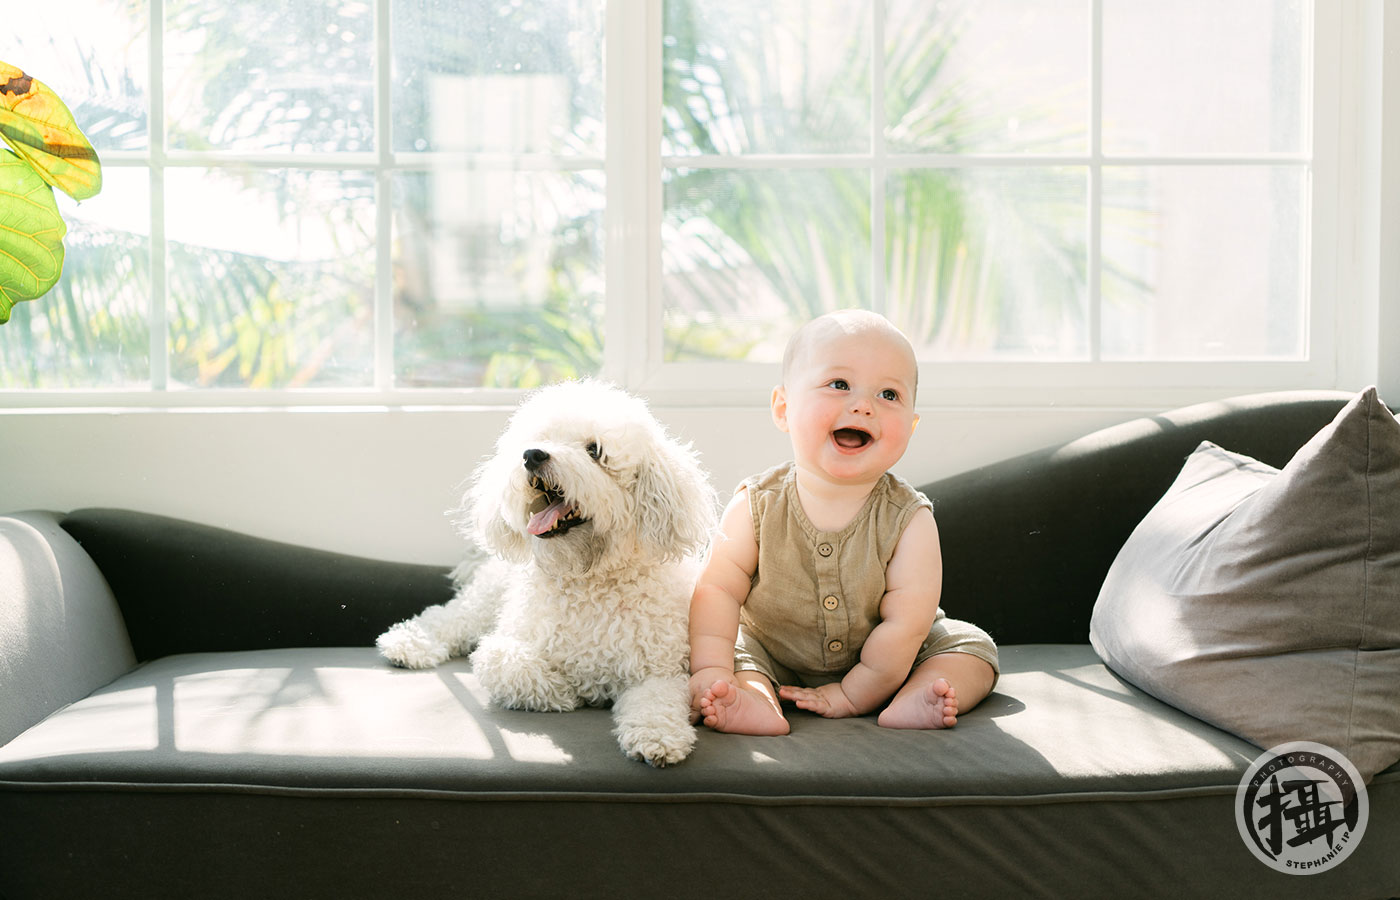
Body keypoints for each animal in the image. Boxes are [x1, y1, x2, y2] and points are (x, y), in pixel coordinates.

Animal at [378, 380, 716, 767]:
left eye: (594, 450)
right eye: (540, 439)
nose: (533, 455)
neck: (589, 577)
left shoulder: (662, 671)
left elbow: (658, 702)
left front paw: (657, 738)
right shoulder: (508, 643)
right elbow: (499, 661)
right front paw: (565, 690)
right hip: (485, 601)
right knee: (448, 619)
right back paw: (407, 643)